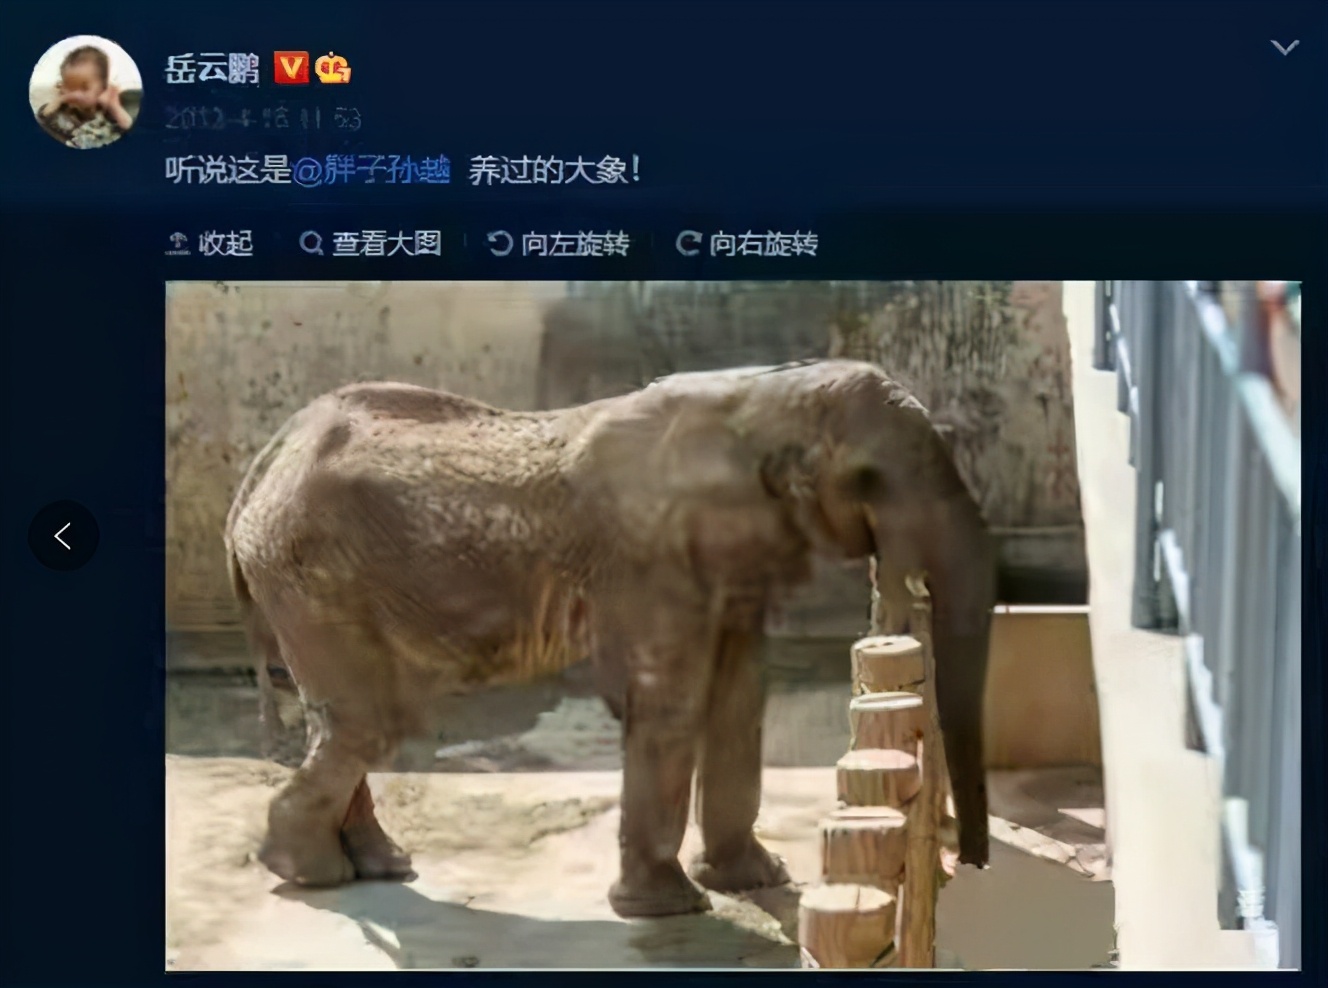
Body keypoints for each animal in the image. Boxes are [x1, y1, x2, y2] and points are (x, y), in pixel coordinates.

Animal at [223, 357, 996, 917]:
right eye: (868, 479)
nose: (969, 866)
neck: (763, 395)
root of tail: (266, 460)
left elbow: (739, 697)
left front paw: (752, 881)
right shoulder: (650, 558)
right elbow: (673, 700)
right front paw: (670, 910)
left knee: (347, 721)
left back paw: (373, 867)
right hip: (309, 572)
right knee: (371, 720)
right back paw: (311, 874)